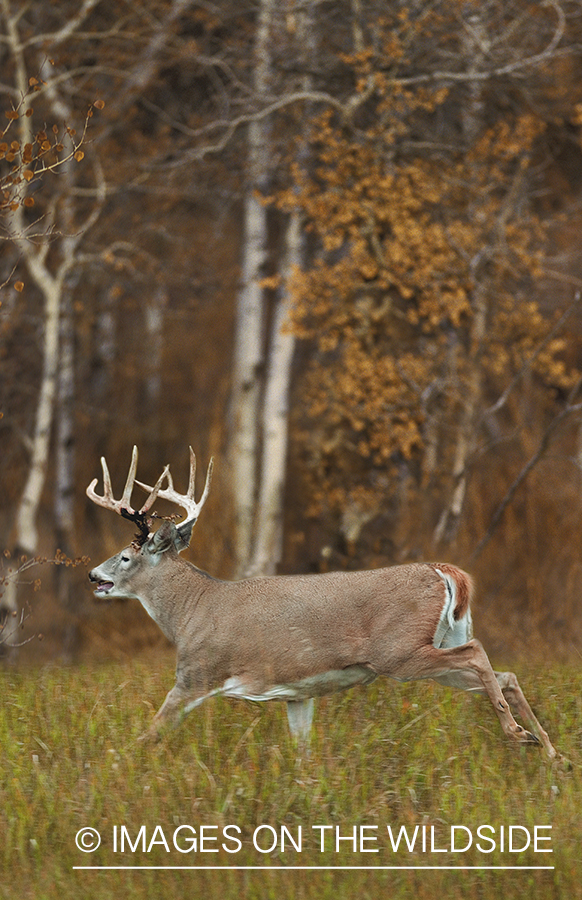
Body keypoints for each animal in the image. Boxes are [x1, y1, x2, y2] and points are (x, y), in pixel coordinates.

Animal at [85, 446, 556, 756]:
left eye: (125, 557)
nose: (93, 575)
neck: (190, 612)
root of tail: (444, 572)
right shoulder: (297, 693)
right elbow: (303, 754)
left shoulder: (196, 674)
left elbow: (150, 733)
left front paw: (121, 766)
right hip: (433, 648)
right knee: (505, 673)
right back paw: (551, 751)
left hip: (399, 651)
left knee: (477, 653)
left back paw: (520, 735)